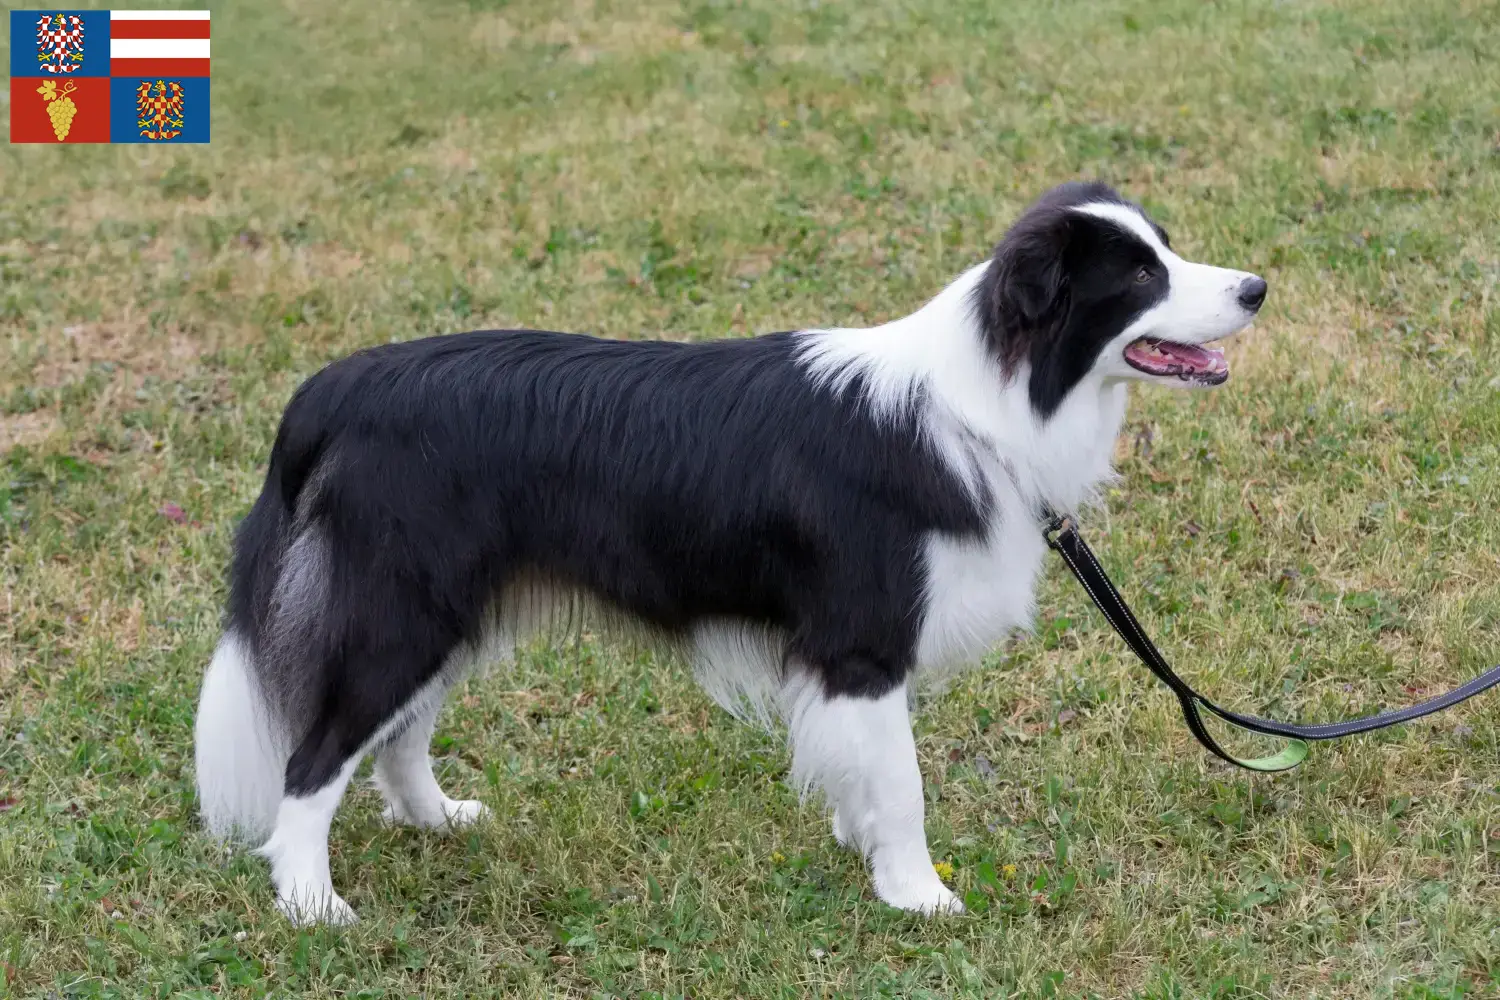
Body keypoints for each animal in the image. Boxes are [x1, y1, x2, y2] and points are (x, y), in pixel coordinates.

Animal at [190, 179, 1266, 923]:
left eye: (1168, 249)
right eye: (1139, 275)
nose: (1258, 286)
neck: (989, 400)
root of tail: (334, 390)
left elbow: (867, 768)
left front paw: (864, 845)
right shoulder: (862, 640)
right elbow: (905, 781)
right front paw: (918, 894)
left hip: (445, 608)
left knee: (398, 733)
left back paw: (436, 817)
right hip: (399, 607)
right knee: (315, 755)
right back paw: (311, 904)